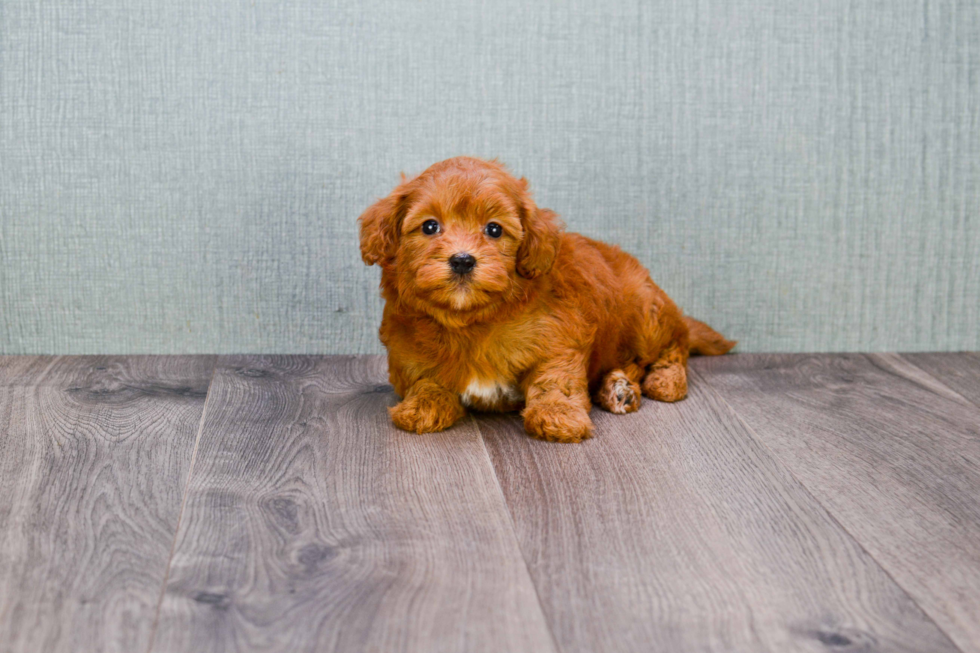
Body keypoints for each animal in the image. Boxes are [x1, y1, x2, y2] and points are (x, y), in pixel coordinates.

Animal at [362, 157, 736, 444]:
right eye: (429, 227)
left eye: (494, 230)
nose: (463, 260)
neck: (470, 321)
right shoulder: (407, 356)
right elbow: (426, 379)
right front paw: (423, 405)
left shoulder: (560, 338)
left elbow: (555, 381)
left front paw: (558, 416)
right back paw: (617, 387)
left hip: (646, 314)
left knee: (674, 347)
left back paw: (664, 381)